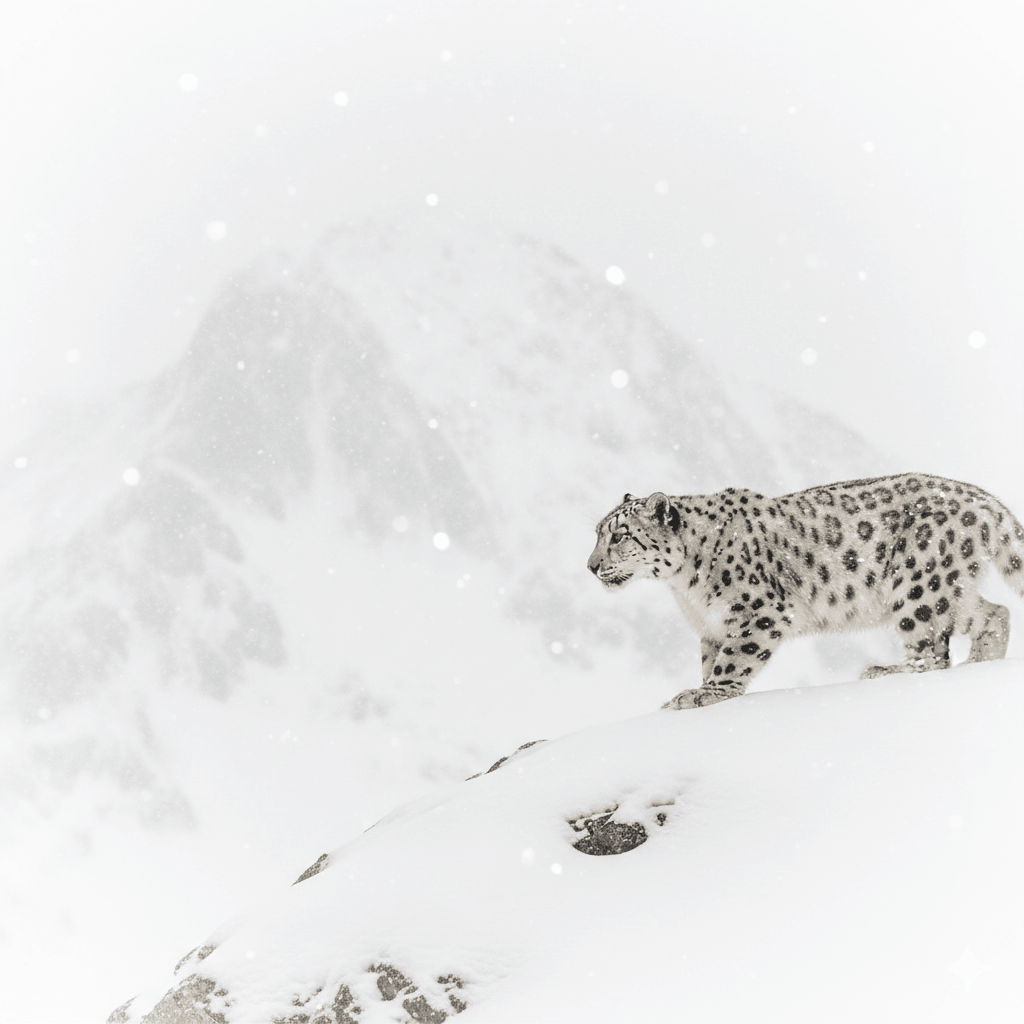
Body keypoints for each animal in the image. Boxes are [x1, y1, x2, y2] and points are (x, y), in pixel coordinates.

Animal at [588, 473, 1024, 709]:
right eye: (597, 532)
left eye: (620, 535)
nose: (590, 566)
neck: (684, 587)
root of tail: (987, 500)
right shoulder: (711, 625)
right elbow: (712, 659)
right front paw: (703, 688)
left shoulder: (759, 610)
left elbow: (733, 659)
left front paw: (705, 694)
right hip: (950, 588)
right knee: (994, 613)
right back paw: (980, 664)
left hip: (919, 584)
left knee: (932, 652)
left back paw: (884, 670)